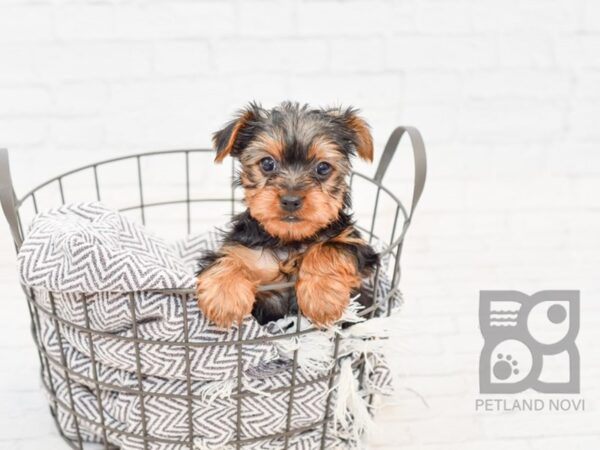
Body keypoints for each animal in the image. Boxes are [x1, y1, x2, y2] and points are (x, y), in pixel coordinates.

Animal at [196, 101, 380, 326]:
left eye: (323, 167)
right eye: (267, 163)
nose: (291, 201)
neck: (289, 240)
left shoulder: (358, 246)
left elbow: (328, 247)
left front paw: (322, 300)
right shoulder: (244, 250)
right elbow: (229, 257)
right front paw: (225, 298)